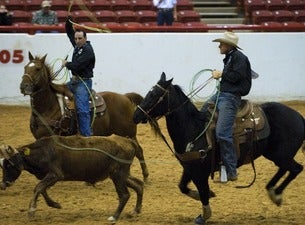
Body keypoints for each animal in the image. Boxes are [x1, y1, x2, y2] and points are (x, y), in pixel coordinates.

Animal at [18, 52, 149, 181]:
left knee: (139, 151)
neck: (49, 106)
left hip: (129, 133)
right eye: (25, 67)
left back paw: (146, 176)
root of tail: (125, 97)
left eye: (37, 69)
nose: (23, 86)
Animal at [133, 73, 304, 224]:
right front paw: (208, 194)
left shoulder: (200, 172)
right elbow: (183, 187)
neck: (194, 129)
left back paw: (276, 193)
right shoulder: (189, 167)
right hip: (274, 154)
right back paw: (273, 191)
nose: (136, 115)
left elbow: (202, 192)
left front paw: (204, 215)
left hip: (281, 154)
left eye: (155, 94)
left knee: (296, 169)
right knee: (285, 169)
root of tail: (299, 117)